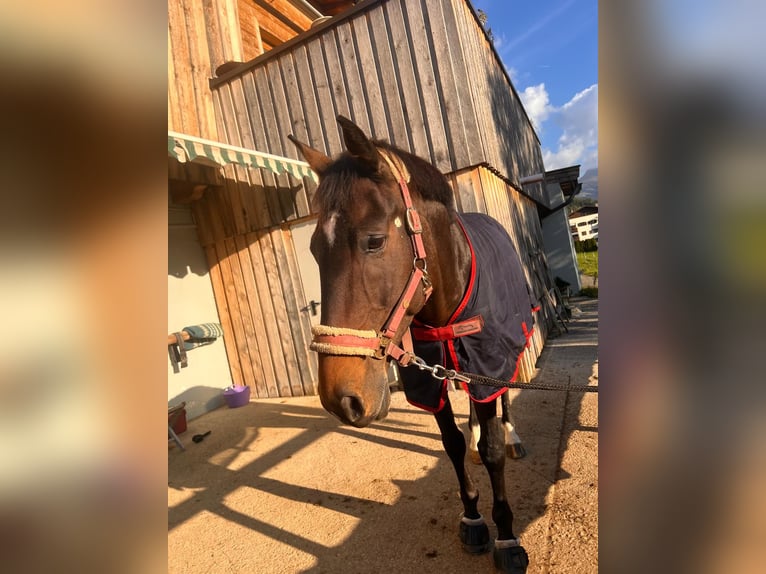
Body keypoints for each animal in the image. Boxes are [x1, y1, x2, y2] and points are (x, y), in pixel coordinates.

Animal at [290, 116, 539, 573]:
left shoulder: (486, 364)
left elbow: (492, 450)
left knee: (505, 398)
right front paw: (473, 518)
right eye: (314, 248)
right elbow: (453, 444)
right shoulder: (430, 378)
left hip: (505, 351)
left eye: (374, 241)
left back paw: (512, 435)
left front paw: (507, 537)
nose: (341, 399)